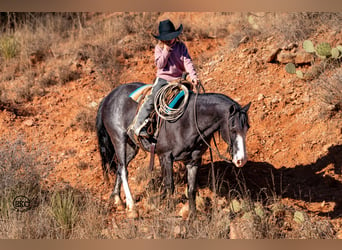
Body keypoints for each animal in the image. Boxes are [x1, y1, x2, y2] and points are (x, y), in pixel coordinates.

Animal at [96, 82, 251, 219]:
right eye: (233, 128)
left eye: (247, 128)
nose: (241, 160)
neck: (188, 122)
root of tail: (110, 96)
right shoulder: (165, 157)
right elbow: (169, 186)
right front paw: (167, 209)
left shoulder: (194, 161)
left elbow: (191, 189)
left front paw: (193, 217)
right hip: (119, 138)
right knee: (124, 170)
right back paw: (132, 207)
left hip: (131, 146)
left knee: (120, 166)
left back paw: (117, 199)